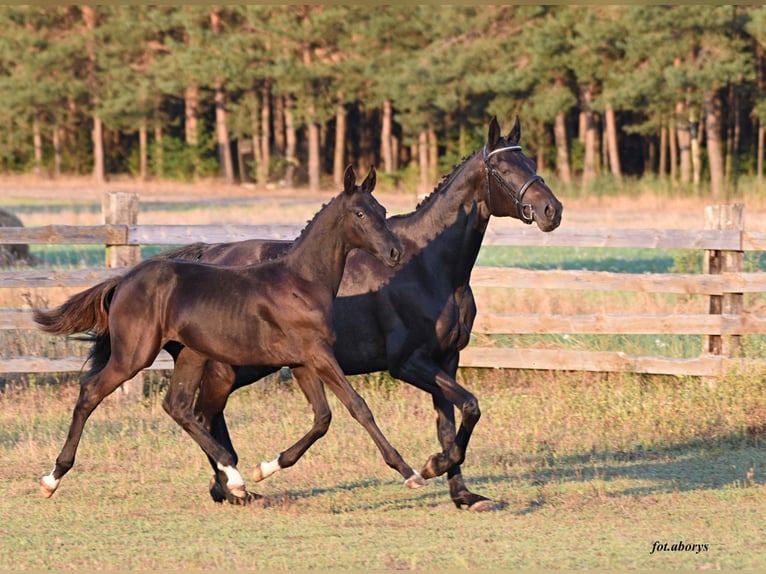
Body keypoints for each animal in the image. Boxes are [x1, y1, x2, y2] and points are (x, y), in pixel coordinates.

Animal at [33, 165, 426, 505]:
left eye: (382, 209)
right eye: (359, 214)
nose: (395, 252)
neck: (301, 282)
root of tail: (124, 279)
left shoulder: (302, 361)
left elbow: (322, 418)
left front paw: (266, 468)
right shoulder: (317, 354)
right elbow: (359, 407)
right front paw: (410, 473)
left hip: (190, 354)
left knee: (178, 407)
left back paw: (234, 478)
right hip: (134, 354)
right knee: (92, 392)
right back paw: (52, 478)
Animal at [156, 116, 563, 512]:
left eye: (531, 162)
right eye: (502, 168)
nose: (552, 211)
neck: (430, 266)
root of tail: (206, 254)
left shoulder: (446, 358)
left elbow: (449, 422)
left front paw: (464, 495)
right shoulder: (408, 363)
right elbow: (469, 407)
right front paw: (431, 466)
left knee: (208, 414)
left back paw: (231, 486)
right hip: (232, 367)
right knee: (204, 413)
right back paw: (232, 485)